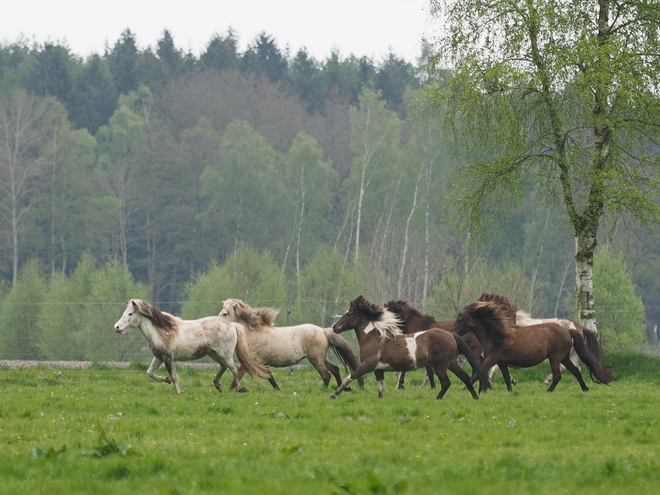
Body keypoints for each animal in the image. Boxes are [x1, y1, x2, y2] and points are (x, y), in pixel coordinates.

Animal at [113, 298, 270, 396]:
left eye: (130, 313)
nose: (117, 328)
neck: (162, 331)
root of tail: (232, 325)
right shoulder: (158, 357)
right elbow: (149, 373)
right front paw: (166, 380)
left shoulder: (168, 358)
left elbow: (174, 376)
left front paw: (178, 392)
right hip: (214, 353)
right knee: (224, 367)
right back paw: (218, 385)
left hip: (225, 354)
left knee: (235, 369)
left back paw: (239, 388)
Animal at [218, 298, 360, 392]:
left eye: (225, 313)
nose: (217, 323)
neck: (253, 332)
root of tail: (323, 331)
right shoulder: (263, 362)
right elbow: (270, 377)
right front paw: (278, 390)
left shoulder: (251, 360)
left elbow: (238, 374)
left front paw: (231, 389)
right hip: (322, 358)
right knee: (335, 369)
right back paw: (343, 388)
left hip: (316, 359)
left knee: (326, 375)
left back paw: (323, 390)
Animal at [330, 296, 490, 402]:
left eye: (349, 313)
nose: (334, 327)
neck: (374, 338)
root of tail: (451, 334)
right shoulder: (379, 370)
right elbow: (381, 388)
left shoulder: (367, 365)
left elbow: (350, 377)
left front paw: (333, 395)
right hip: (452, 363)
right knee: (465, 377)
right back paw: (475, 397)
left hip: (440, 365)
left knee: (446, 382)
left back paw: (437, 399)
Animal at [452, 298, 616, 392]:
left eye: (460, 319)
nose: (452, 331)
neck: (496, 335)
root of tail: (571, 328)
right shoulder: (502, 362)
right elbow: (504, 377)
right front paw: (509, 390)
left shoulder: (492, 359)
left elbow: (479, 373)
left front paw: (466, 389)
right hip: (565, 357)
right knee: (575, 370)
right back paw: (584, 388)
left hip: (555, 358)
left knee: (559, 375)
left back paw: (549, 389)